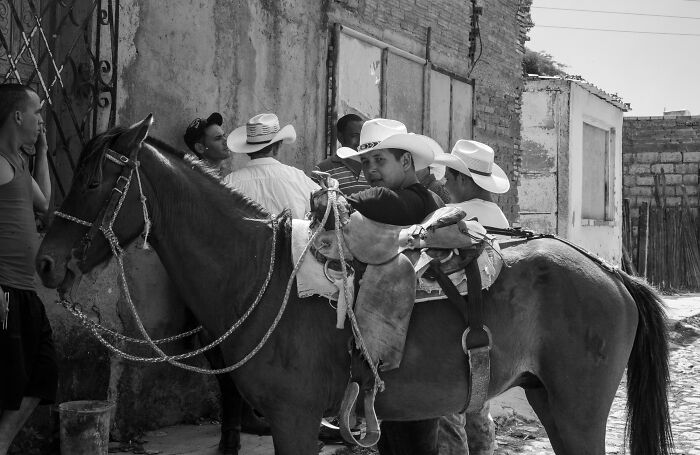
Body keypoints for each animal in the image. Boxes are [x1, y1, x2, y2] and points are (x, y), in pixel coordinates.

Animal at [36, 115, 673, 455]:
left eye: (94, 180)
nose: (45, 263)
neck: (258, 276)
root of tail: (610, 273)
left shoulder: (294, 419)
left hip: (579, 408)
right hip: (548, 398)